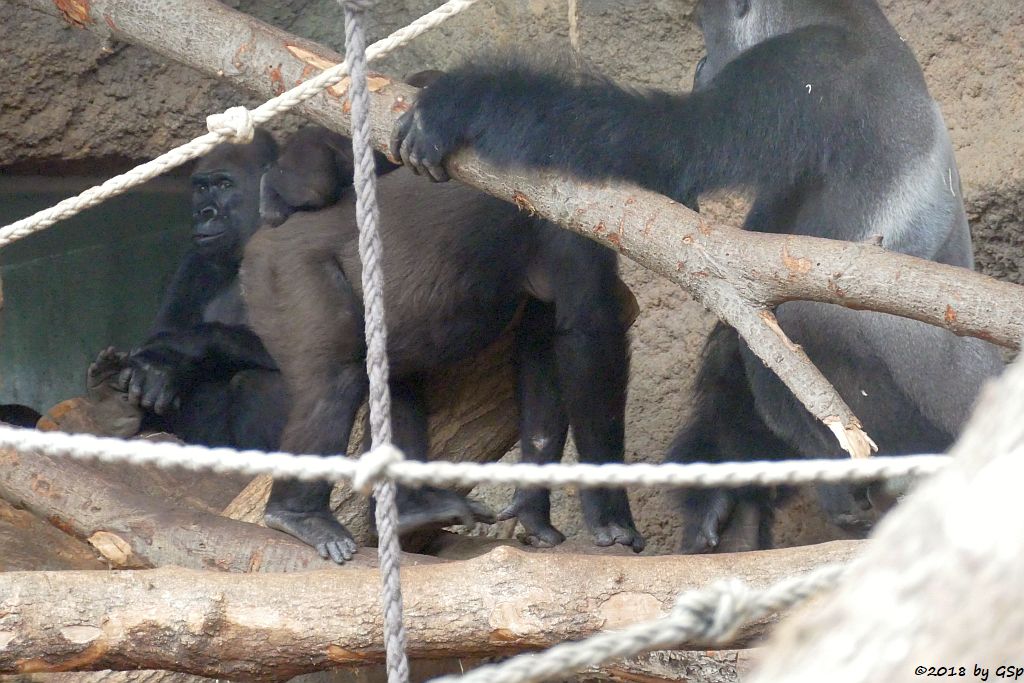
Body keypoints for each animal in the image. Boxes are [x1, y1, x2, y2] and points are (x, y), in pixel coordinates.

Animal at [241, 126, 638, 561]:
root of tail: (258, 243)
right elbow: (588, 340)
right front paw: (610, 513)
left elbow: (544, 351)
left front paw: (532, 505)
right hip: (282, 272)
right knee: (335, 378)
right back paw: (298, 514)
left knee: (394, 383)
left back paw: (410, 510)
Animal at [389, 0, 999, 548]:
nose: (701, 63)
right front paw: (719, 489)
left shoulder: (803, 66)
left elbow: (663, 141)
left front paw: (464, 100)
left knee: (809, 322)